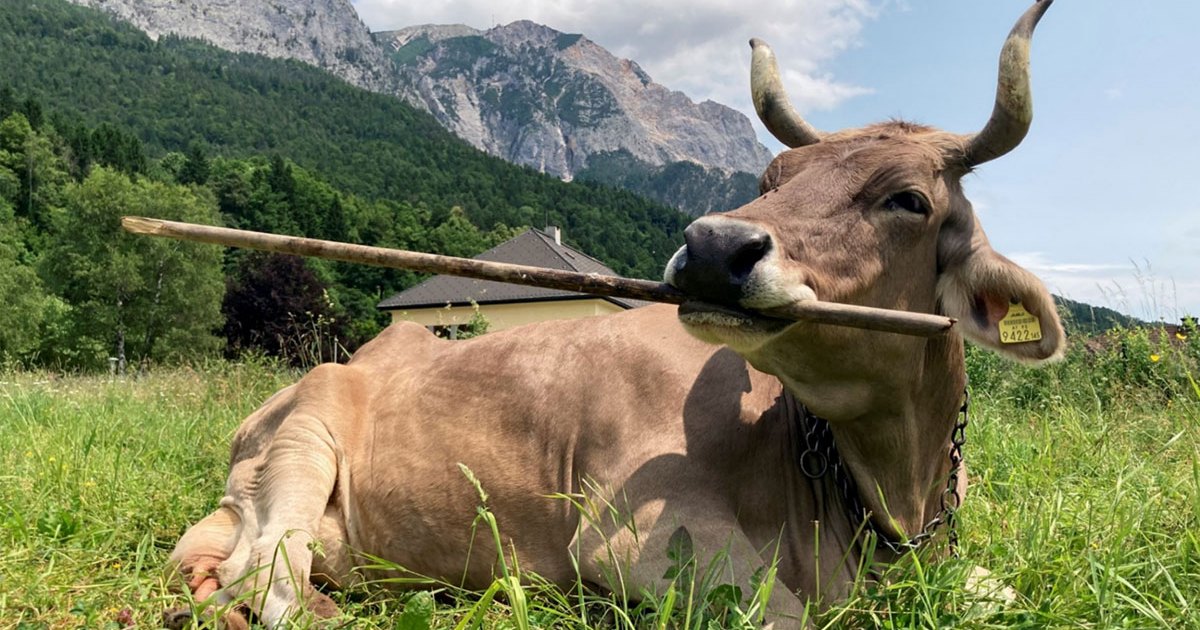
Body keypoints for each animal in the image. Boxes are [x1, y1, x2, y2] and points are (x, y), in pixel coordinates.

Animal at [165, 1, 1063, 628]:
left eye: (908, 199)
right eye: (770, 179)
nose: (712, 246)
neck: (886, 492)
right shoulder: (640, 538)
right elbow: (790, 615)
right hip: (305, 435)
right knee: (266, 573)